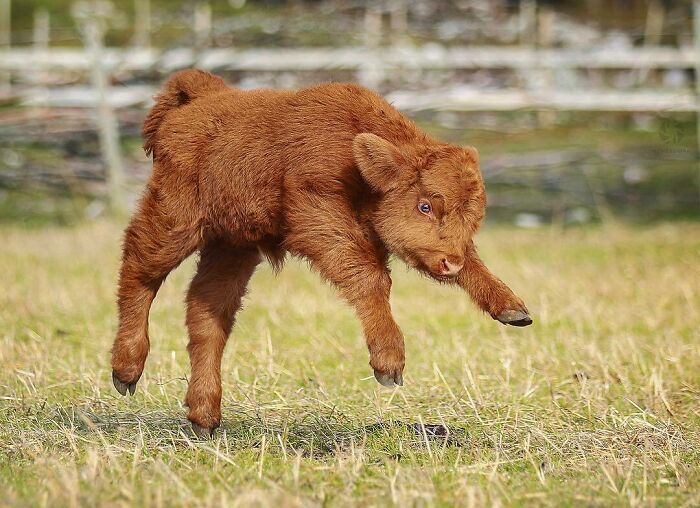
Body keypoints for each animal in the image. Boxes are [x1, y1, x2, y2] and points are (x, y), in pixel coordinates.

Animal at [110, 69, 532, 438]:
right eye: (425, 205)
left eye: (474, 215)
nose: (449, 261)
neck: (354, 158)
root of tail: (202, 97)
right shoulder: (319, 218)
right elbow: (371, 275)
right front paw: (389, 364)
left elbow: (473, 263)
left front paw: (513, 310)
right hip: (175, 221)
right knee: (139, 270)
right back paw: (126, 372)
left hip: (233, 246)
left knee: (207, 311)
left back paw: (204, 418)